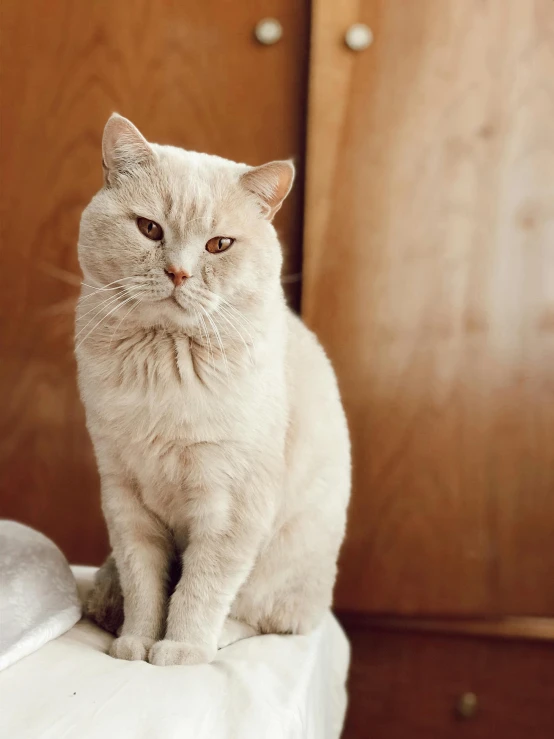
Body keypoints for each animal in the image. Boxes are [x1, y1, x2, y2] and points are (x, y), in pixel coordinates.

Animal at [76, 115, 350, 672]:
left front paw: (180, 649)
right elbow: (144, 587)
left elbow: (199, 590)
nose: (178, 273)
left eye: (219, 245)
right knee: (113, 591)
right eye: (150, 229)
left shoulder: (232, 508)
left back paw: (217, 639)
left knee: (268, 621)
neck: (162, 366)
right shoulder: (125, 500)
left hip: (283, 570)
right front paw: (135, 643)